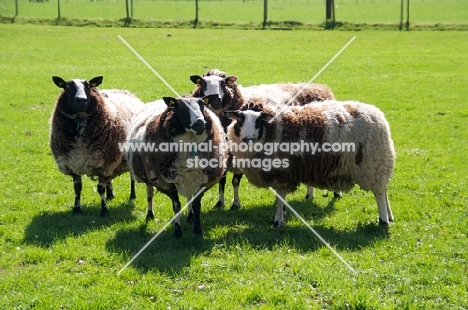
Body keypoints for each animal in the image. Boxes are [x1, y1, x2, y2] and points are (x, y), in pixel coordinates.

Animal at [49, 75, 144, 216]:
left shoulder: (104, 165)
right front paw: (76, 209)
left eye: (89, 86)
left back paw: (132, 196)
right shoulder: (73, 165)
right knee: (109, 180)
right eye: (67, 86)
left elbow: (100, 189)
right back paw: (110, 195)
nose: (81, 100)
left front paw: (104, 211)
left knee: (131, 178)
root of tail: (125, 92)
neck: (79, 120)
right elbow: (77, 188)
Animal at [124, 95, 227, 236]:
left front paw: (197, 230)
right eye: (181, 106)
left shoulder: (201, 181)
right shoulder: (167, 182)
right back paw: (150, 215)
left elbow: (196, 205)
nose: (200, 124)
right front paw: (177, 231)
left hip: (190, 178)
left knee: (189, 196)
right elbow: (176, 206)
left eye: (202, 105)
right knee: (150, 193)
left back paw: (190, 216)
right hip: (149, 175)